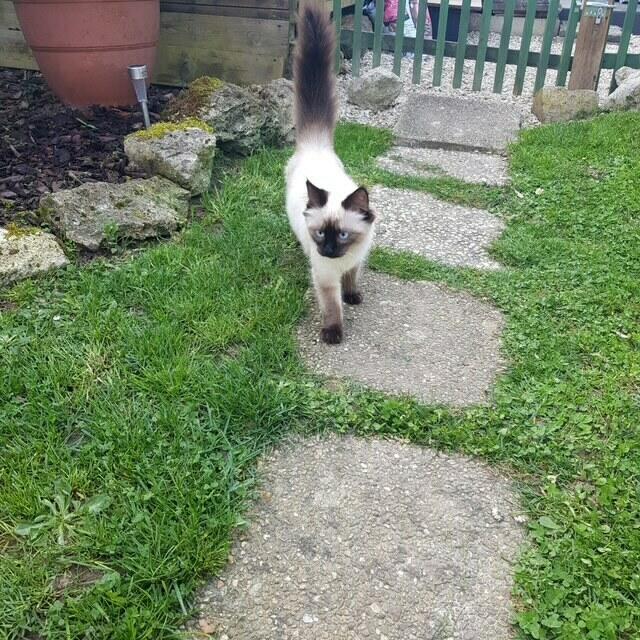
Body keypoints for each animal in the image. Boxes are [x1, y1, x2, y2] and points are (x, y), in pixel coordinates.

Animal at [286, 1, 376, 345]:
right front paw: (333, 334)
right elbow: (332, 306)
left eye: (344, 235)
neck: (343, 258)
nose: (326, 250)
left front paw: (353, 296)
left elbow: (351, 280)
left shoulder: (355, 261)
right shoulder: (325, 277)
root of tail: (316, 145)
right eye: (322, 234)